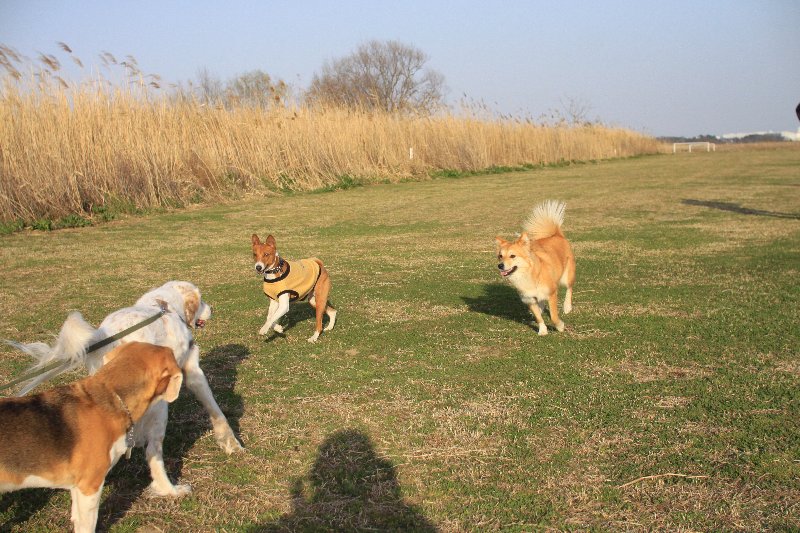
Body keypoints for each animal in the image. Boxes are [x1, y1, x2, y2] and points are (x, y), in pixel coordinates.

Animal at [7, 281, 242, 497]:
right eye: (201, 300)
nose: (212, 308)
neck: (166, 306)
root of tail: (105, 337)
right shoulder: (193, 370)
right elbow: (216, 411)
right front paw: (232, 443)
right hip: (160, 407)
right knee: (153, 452)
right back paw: (171, 490)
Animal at [494, 200, 576, 335]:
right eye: (500, 256)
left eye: (512, 256)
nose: (500, 266)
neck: (528, 276)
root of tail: (557, 234)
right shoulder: (530, 300)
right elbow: (538, 318)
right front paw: (542, 330)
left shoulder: (552, 293)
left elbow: (553, 316)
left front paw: (560, 326)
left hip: (566, 276)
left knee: (569, 288)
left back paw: (567, 307)